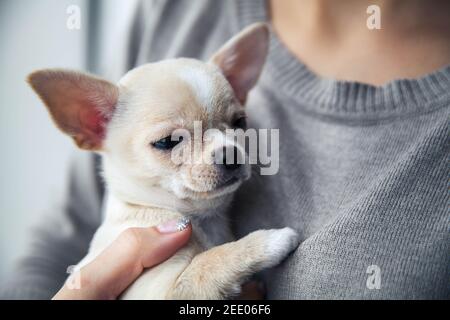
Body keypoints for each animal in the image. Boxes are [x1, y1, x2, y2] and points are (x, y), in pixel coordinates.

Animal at [29, 23, 300, 300]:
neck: (199, 219)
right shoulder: (163, 289)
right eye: (169, 141)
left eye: (240, 123)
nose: (230, 153)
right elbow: (209, 261)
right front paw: (272, 240)